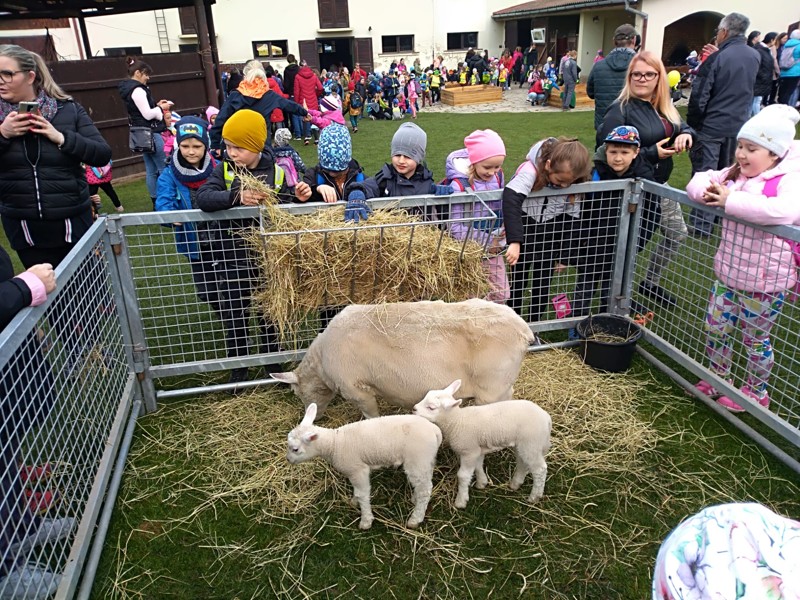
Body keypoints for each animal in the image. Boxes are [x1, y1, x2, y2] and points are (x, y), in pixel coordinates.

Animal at [270, 298, 536, 420]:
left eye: (297, 392)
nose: (313, 415)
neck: (321, 362)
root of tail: (524, 330)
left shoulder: (357, 390)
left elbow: (371, 416)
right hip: (502, 387)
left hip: (492, 390)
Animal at [286, 404, 444, 528]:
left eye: (295, 449)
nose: (288, 459)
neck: (334, 444)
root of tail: (434, 430)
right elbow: (357, 492)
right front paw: (354, 501)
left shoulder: (357, 470)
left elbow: (362, 494)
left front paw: (366, 520)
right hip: (425, 459)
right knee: (425, 483)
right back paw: (415, 499)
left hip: (417, 459)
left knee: (425, 490)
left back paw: (415, 519)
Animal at [412, 380, 552, 506]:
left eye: (431, 407)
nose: (414, 409)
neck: (456, 421)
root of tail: (546, 417)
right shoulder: (476, 449)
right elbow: (478, 466)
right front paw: (482, 483)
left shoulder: (468, 451)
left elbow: (463, 475)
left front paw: (461, 501)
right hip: (522, 444)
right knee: (522, 462)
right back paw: (515, 484)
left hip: (532, 443)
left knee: (540, 469)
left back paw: (534, 497)